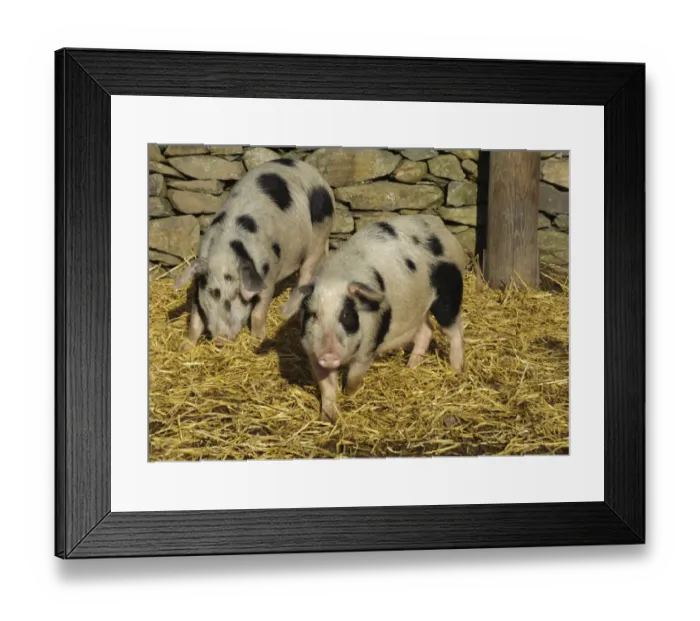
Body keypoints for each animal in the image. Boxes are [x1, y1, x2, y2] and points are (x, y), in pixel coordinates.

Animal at [173, 158, 335, 347]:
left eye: (236, 294)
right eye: (212, 293)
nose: (220, 340)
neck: (225, 254)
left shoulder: (268, 274)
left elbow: (259, 310)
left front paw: (257, 339)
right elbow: (195, 318)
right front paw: (185, 346)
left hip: (320, 233)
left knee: (307, 272)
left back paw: (285, 312)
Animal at [296, 214, 467, 422]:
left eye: (346, 314)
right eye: (313, 314)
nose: (329, 355)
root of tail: (440, 228)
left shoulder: (370, 341)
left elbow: (354, 376)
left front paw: (349, 394)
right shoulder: (312, 352)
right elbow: (326, 387)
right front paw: (328, 419)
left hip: (448, 295)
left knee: (455, 329)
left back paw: (456, 369)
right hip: (417, 309)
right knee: (427, 329)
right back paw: (410, 367)